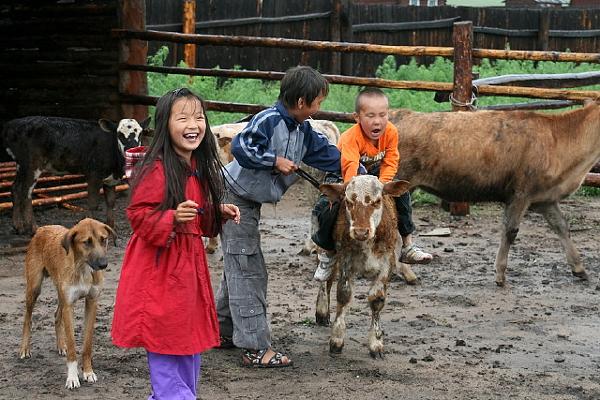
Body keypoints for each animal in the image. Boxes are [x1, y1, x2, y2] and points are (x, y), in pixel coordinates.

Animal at [1, 115, 151, 234]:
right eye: (119, 134)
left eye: (140, 134)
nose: (132, 149)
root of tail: (12, 124)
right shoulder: (94, 175)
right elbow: (93, 203)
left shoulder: (110, 179)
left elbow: (110, 202)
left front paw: (111, 227)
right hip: (32, 165)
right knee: (26, 193)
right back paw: (32, 228)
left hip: (21, 165)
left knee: (15, 189)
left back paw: (18, 226)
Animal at [18, 217, 116, 390]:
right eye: (86, 242)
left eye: (104, 239)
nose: (103, 264)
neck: (83, 268)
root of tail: (42, 228)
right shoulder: (69, 305)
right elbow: (72, 347)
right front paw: (72, 378)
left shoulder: (91, 302)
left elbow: (87, 345)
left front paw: (88, 372)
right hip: (34, 287)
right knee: (27, 319)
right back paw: (25, 349)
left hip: (61, 293)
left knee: (57, 315)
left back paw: (60, 345)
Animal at [312, 177, 410, 358]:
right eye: (349, 201)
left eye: (377, 201)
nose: (361, 232)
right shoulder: (346, 260)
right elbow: (344, 295)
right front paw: (336, 340)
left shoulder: (387, 263)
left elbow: (377, 299)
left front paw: (376, 344)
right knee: (326, 278)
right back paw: (322, 311)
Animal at [392, 101, 600, 288]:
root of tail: (397, 113)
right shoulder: (520, 194)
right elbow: (510, 231)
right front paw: (500, 274)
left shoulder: (545, 199)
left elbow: (561, 226)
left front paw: (579, 268)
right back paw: (406, 273)